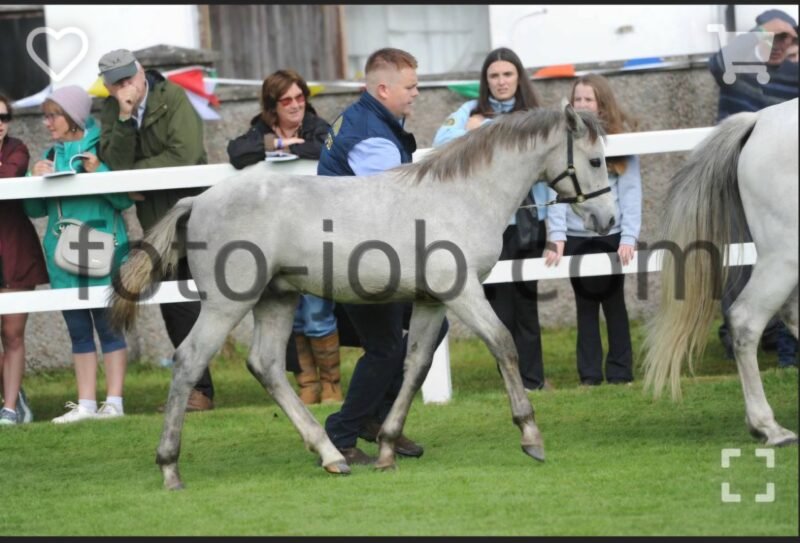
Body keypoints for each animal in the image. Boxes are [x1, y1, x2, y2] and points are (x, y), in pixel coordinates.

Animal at [110, 103, 617, 490]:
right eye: (595, 161)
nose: (608, 220)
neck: (461, 195)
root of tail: (197, 200)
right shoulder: (463, 292)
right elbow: (503, 344)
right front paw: (531, 436)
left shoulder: (432, 301)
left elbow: (415, 365)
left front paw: (389, 448)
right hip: (226, 305)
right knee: (189, 361)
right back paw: (170, 468)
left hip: (277, 299)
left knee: (267, 366)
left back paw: (331, 454)